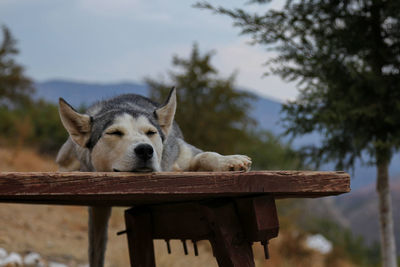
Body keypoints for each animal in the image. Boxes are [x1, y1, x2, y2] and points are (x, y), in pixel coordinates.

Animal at [56, 88, 252, 267]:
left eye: (151, 132)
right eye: (115, 133)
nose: (145, 149)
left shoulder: (182, 152)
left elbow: (205, 155)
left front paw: (229, 161)